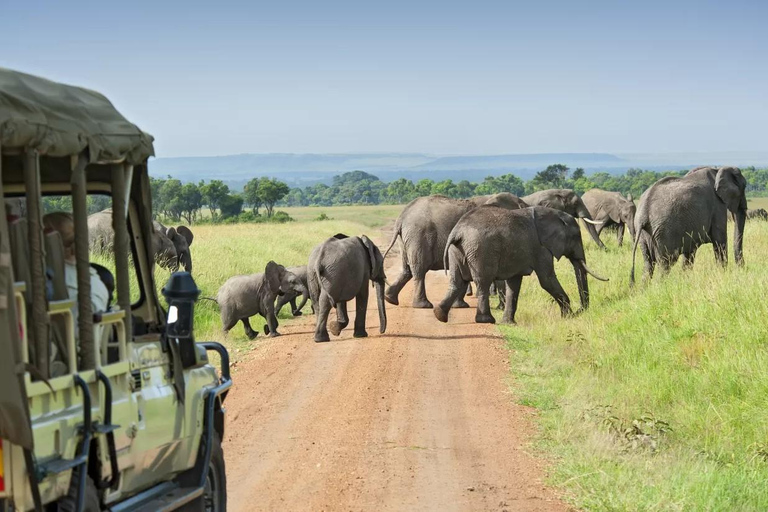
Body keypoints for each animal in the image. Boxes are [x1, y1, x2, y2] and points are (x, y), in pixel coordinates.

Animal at [382, 193, 528, 308]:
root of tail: (401, 217)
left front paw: (460, 306)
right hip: (418, 236)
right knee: (419, 269)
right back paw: (423, 305)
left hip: (406, 239)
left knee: (407, 269)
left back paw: (390, 299)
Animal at [432, 205, 608, 322]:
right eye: (576, 236)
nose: (580, 311)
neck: (554, 215)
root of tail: (458, 231)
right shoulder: (540, 248)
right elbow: (547, 280)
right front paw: (568, 317)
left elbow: (514, 283)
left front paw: (509, 323)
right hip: (480, 250)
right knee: (482, 282)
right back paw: (487, 320)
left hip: (457, 251)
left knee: (457, 281)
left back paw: (439, 315)